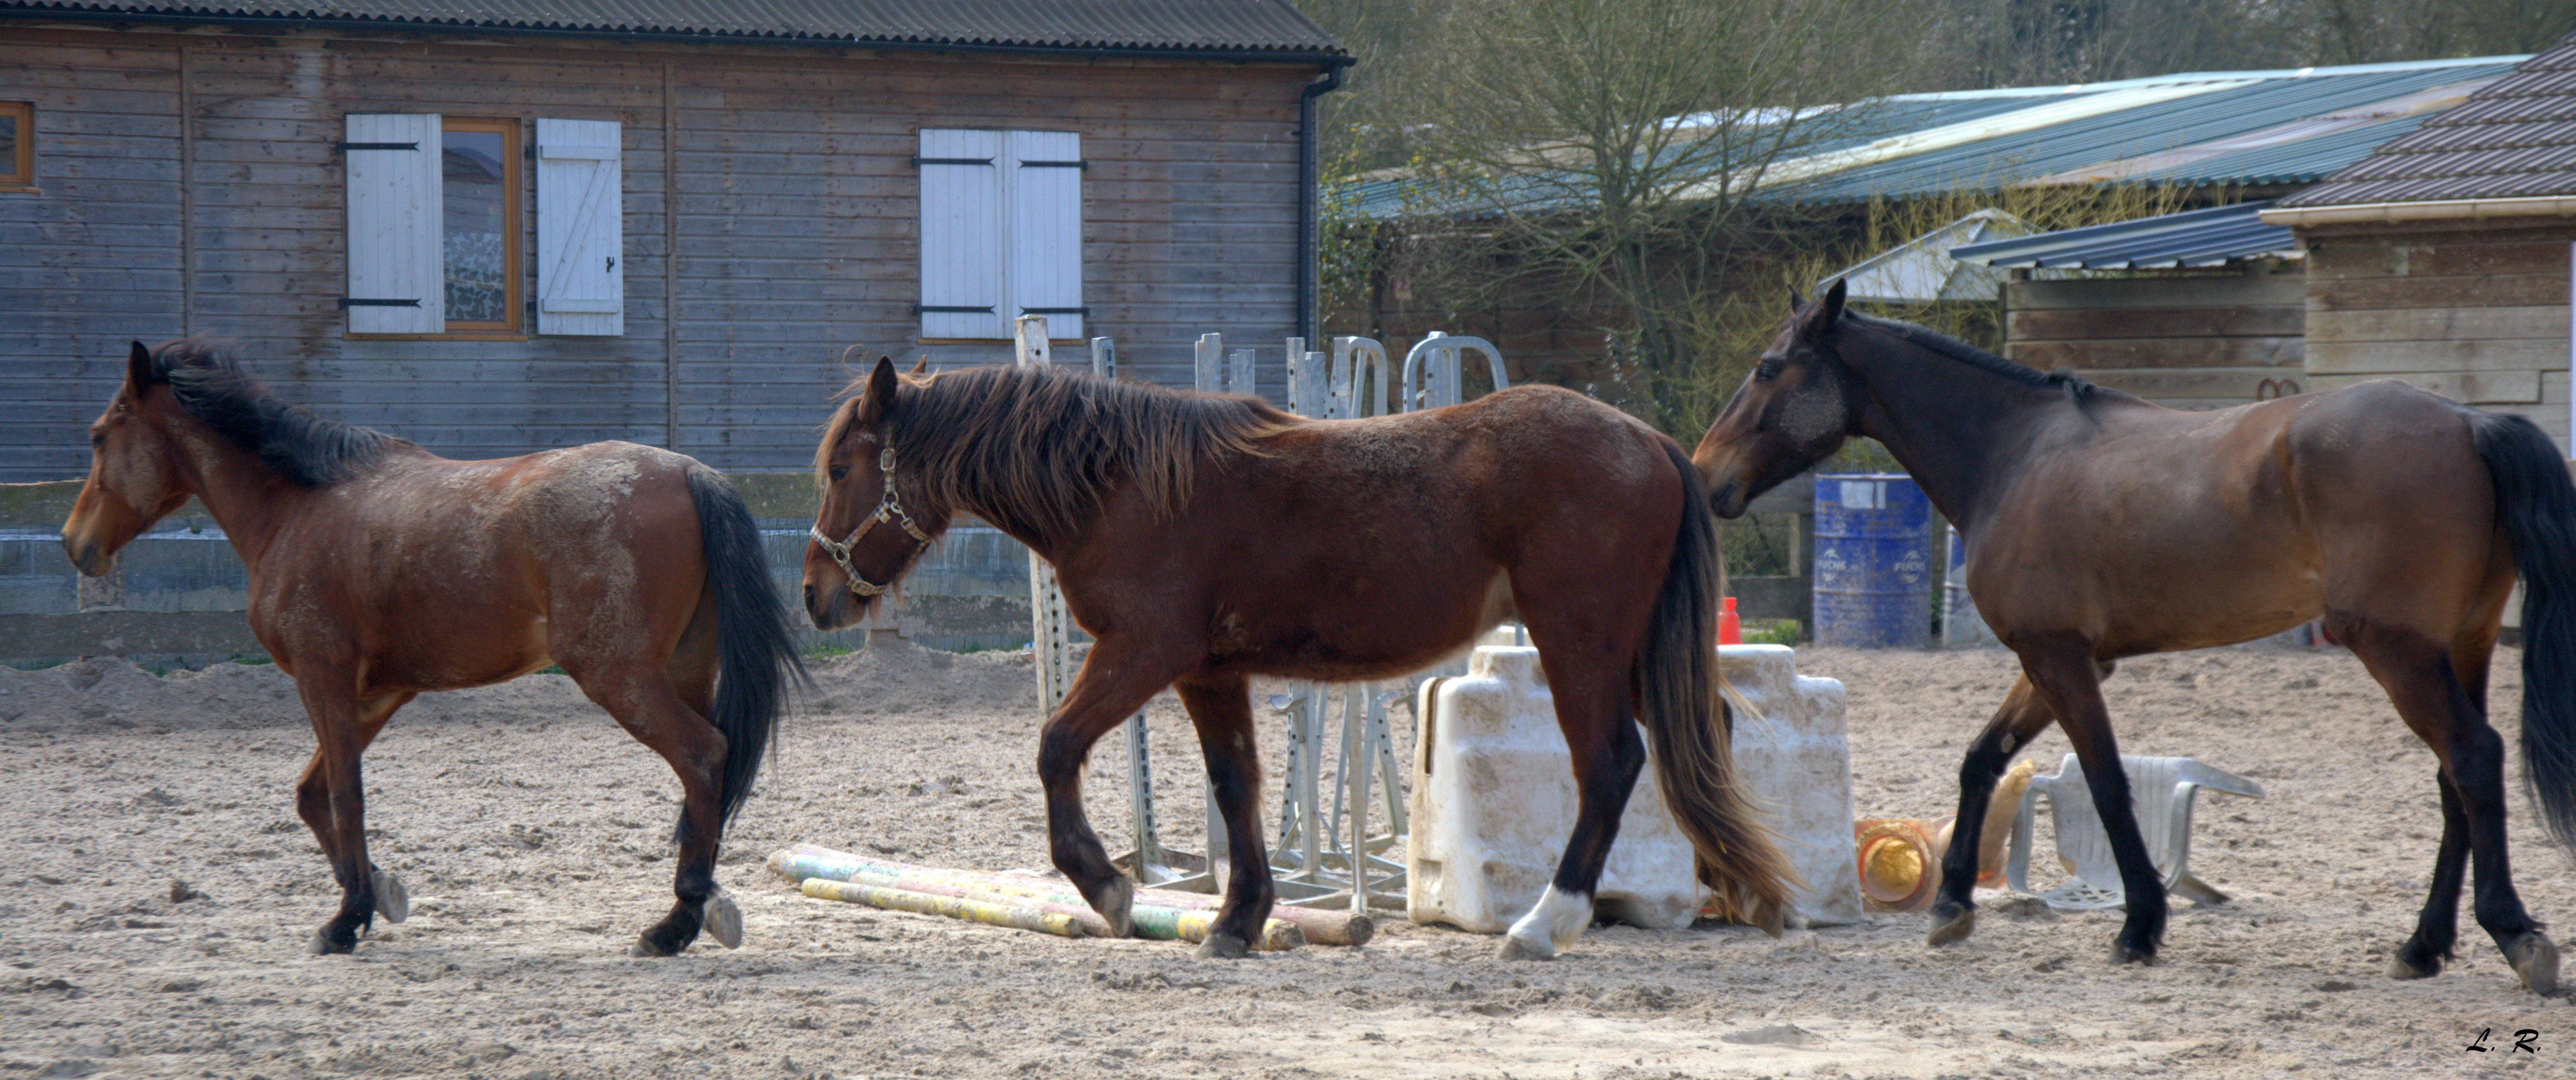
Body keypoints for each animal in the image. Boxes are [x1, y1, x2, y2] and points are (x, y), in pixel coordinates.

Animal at [59, 340, 807, 957]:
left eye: (98, 436)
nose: (75, 545)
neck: (298, 508)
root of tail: (689, 473)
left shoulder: (324, 679)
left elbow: (346, 797)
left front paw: (346, 919)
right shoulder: (379, 692)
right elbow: (314, 795)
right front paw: (379, 894)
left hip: (619, 676)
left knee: (703, 756)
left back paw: (675, 923)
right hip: (684, 671)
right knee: (706, 773)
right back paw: (699, 909)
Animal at [800, 356, 1792, 958]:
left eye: (843, 468)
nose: (815, 594)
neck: (1122, 486)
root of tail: (1648, 440)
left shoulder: (1142, 652)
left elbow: (1056, 746)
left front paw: (1109, 886)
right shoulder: (1208, 670)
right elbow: (1236, 782)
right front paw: (1239, 916)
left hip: (1578, 641)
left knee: (1613, 763)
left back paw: (1548, 921)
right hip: (1628, 649)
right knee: (1705, 737)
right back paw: (1737, 887)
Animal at [1692, 279, 2576, 993]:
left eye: (1769, 368)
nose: (1704, 475)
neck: (2012, 455)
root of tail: (2466, 424)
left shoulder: (2059, 658)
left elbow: (2107, 782)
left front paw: (2140, 923)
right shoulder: (2055, 659)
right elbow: (1982, 758)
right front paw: (1949, 903)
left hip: (2398, 650)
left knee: (2473, 758)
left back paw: (2513, 934)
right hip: (2456, 646)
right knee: (2455, 779)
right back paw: (2423, 945)